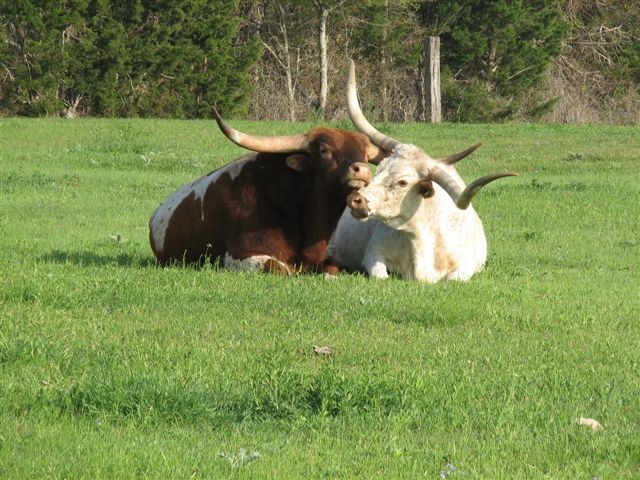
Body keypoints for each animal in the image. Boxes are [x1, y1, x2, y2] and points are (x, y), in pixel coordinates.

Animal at [149, 107, 383, 274]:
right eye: (324, 150)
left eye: (365, 152)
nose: (362, 170)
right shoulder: (238, 256)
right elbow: (282, 268)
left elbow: (333, 269)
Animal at [328, 60, 517, 282]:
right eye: (379, 169)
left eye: (402, 182)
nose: (355, 199)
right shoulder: (373, 253)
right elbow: (381, 275)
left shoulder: (467, 267)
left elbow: (455, 278)